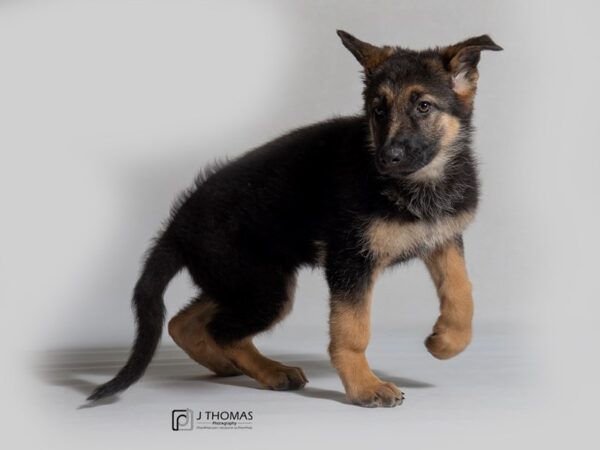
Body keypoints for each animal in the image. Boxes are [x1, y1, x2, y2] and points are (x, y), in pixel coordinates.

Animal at [89, 29, 502, 406]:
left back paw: (226, 365)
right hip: (263, 285)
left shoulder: (443, 239)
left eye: (423, 106)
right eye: (378, 110)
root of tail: (177, 226)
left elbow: (462, 290)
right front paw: (364, 387)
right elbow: (352, 329)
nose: (387, 158)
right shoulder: (349, 262)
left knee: (185, 322)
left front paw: (447, 341)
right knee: (222, 330)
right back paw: (271, 371)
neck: (424, 182)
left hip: (246, 279)